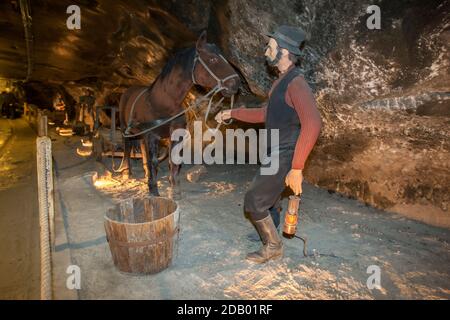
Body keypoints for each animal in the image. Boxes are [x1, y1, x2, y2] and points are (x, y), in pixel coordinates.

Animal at [118, 31, 241, 198]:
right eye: (213, 59)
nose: (236, 83)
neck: (164, 101)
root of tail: (128, 91)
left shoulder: (175, 133)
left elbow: (173, 159)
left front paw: (174, 189)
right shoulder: (151, 135)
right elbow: (154, 161)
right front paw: (153, 189)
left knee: (142, 151)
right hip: (126, 130)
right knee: (127, 147)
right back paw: (126, 172)